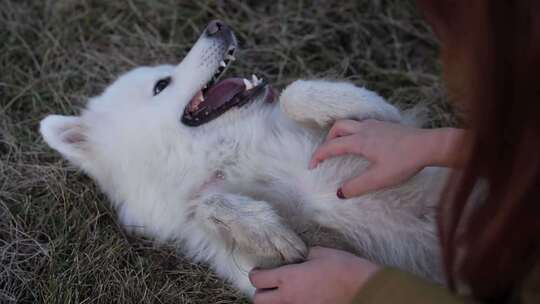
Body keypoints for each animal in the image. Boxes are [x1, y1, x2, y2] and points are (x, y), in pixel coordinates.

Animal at [40, 20, 450, 296]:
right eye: (162, 85)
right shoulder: (266, 270)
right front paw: (266, 229)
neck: (234, 151)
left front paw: (349, 104)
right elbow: (208, 204)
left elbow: (297, 94)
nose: (216, 25)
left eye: (163, 74)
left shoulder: (394, 131)